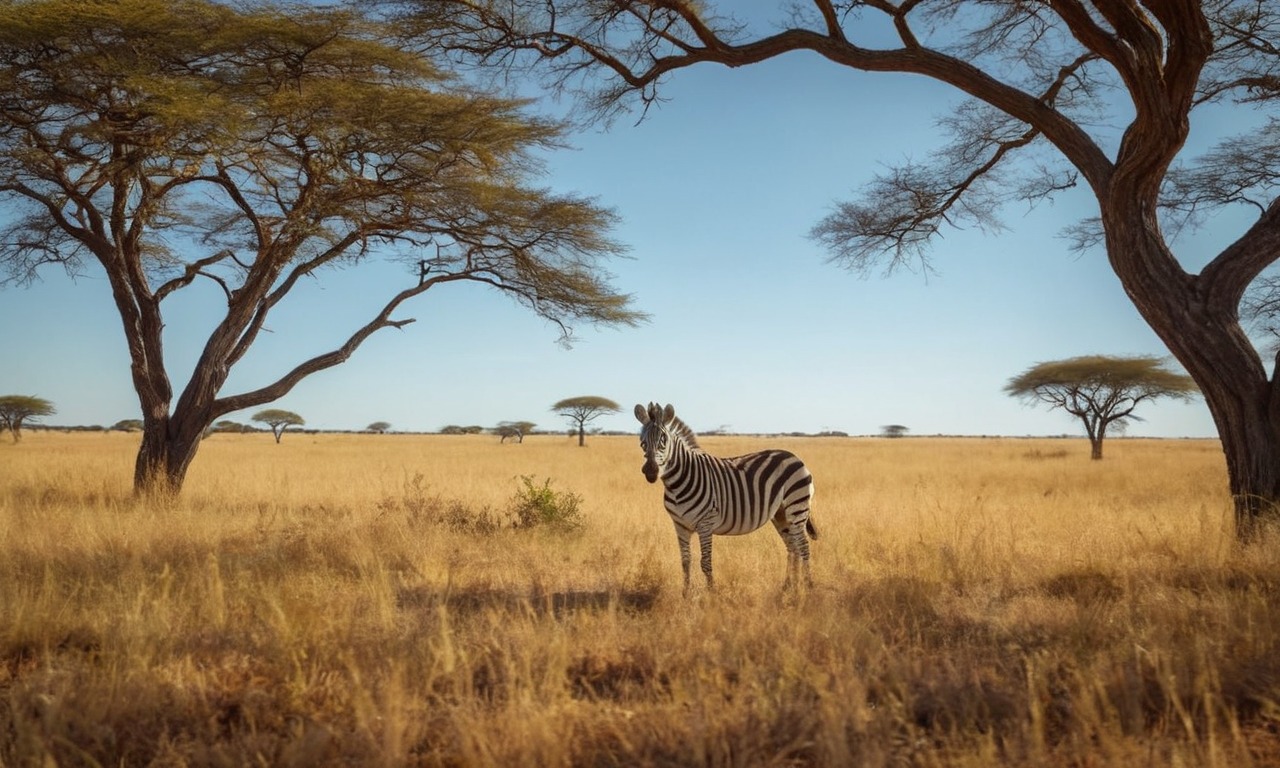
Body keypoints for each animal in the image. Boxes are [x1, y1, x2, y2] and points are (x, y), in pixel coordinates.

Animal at [632, 401, 819, 593]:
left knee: (803, 546)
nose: (650, 471)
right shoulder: (680, 526)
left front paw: (711, 593)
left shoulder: (705, 523)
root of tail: (794, 456)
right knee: (793, 547)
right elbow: (685, 562)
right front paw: (686, 594)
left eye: (664, 440)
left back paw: (808, 587)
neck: (677, 484)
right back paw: (790, 587)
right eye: (642, 443)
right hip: (780, 514)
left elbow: (706, 562)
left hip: (797, 507)